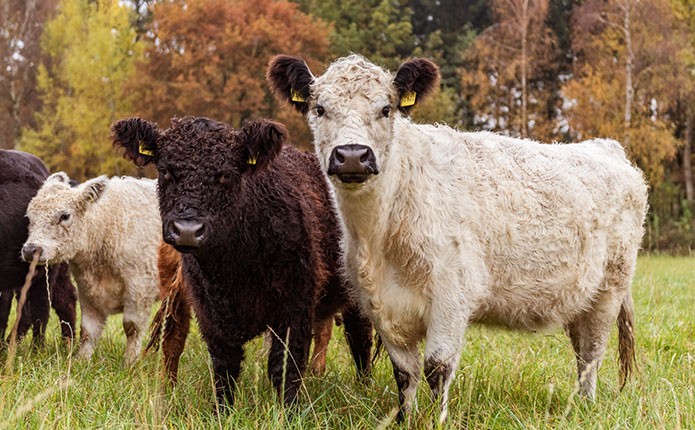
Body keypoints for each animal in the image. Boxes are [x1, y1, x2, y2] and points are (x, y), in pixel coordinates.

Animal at [22, 173, 161, 364]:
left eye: (65, 216)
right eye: (29, 218)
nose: (30, 250)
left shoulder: (140, 287)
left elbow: (132, 328)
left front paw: (129, 363)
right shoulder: (87, 290)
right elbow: (88, 330)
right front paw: (81, 361)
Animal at [270, 53, 648, 424]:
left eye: (385, 109)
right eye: (320, 109)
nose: (352, 155)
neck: (380, 237)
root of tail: (604, 147)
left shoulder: (451, 296)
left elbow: (436, 368)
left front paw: (438, 419)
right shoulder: (379, 304)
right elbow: (404, 374)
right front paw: (405, 419)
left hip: (609, 290)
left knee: (592, 353)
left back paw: (585, 405)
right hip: (579, 298)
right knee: (581, 347)